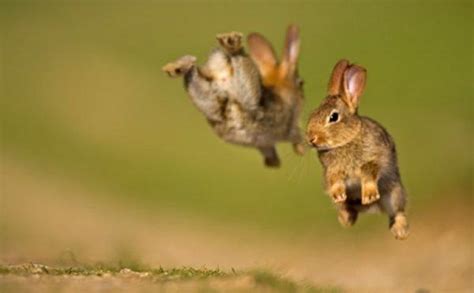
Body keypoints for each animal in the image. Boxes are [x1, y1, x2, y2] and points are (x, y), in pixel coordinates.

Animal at [162, 25, 304, 167]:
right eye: (301, 83)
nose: (302, 95)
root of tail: (222, 74)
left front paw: (273, 161)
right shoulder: (289, 125)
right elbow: (295, 135)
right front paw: (299, 148)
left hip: (209, 100)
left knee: (192, 73)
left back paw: (176, 67)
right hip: (251, 101)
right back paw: (232, 44)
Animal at [306, 58, 410, 238]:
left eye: (333, 117)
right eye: (313, 113)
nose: (311, 138)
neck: (347, 140)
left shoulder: (374, 159)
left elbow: (368, 173)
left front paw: (369, 195)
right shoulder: (332, 170)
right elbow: (335, 181)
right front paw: (338, 194)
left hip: (394, 193)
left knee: (397, 211)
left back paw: (400, 231)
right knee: (348, 209)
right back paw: (346, 218)